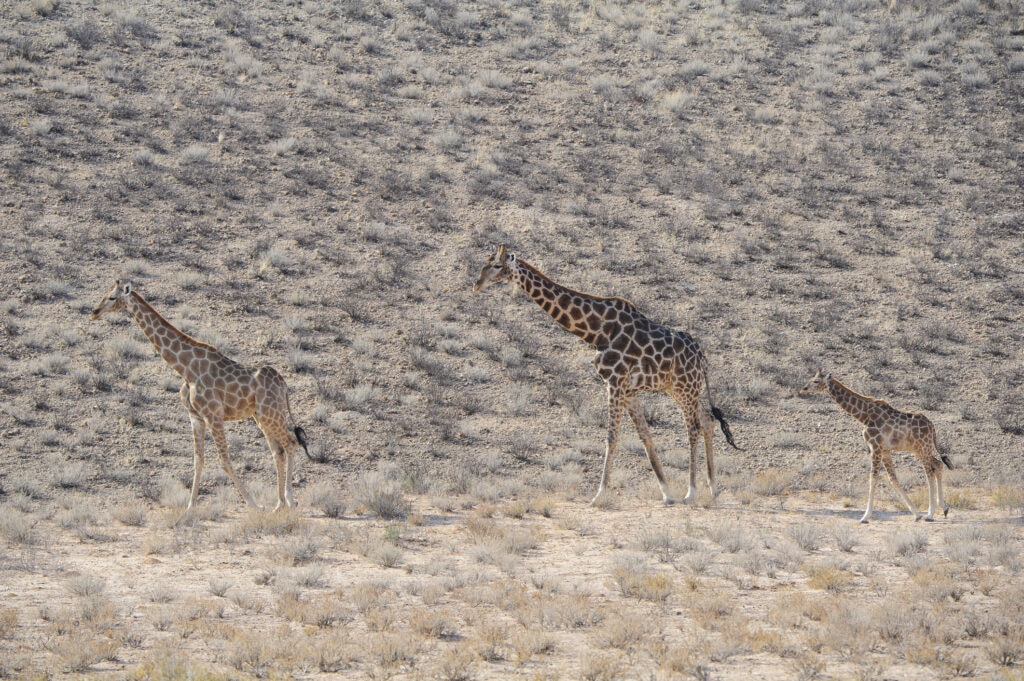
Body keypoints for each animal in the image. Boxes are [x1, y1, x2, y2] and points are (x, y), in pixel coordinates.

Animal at [90, 280, 309, 511]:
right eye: (105, 294)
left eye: (112, 297)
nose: (94, 312)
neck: (186, 369)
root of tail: (284, 385)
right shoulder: (195, 416)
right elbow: (198, 460)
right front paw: (190, 506)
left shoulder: (213, 415)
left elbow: (224, 460)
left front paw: (254, 505)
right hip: (263, 416)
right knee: (278, 451)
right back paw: (279, 504)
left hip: (271, 414)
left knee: (290, 443)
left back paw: (290, 500)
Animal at [474, 245, 740, 506]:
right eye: (484, 263)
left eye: (497, 265)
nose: (477, 284)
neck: (597, 331)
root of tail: (703, 358)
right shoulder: (629, 390)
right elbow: (646, 437)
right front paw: (666, 493)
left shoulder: (614, 382)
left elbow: (611, 437)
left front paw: (599, 494)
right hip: (679, 389)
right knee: (708, 420)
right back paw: (713, 489)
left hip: (685, 388)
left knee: (693, 428)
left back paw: (692, 492)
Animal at [799, 369, 952, 523]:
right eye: (812, 378)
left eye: (816, 381)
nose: (803, 389)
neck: (863, 415)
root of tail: (932, 427)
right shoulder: (885, 450)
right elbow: (893, 480)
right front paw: (916, 514)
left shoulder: (875, 447)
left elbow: (873, 479)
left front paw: (865, 516)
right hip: (918, 449)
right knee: (938, 464)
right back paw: (944, 508)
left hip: (923, 448)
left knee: (929, 473)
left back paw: (930, 514)